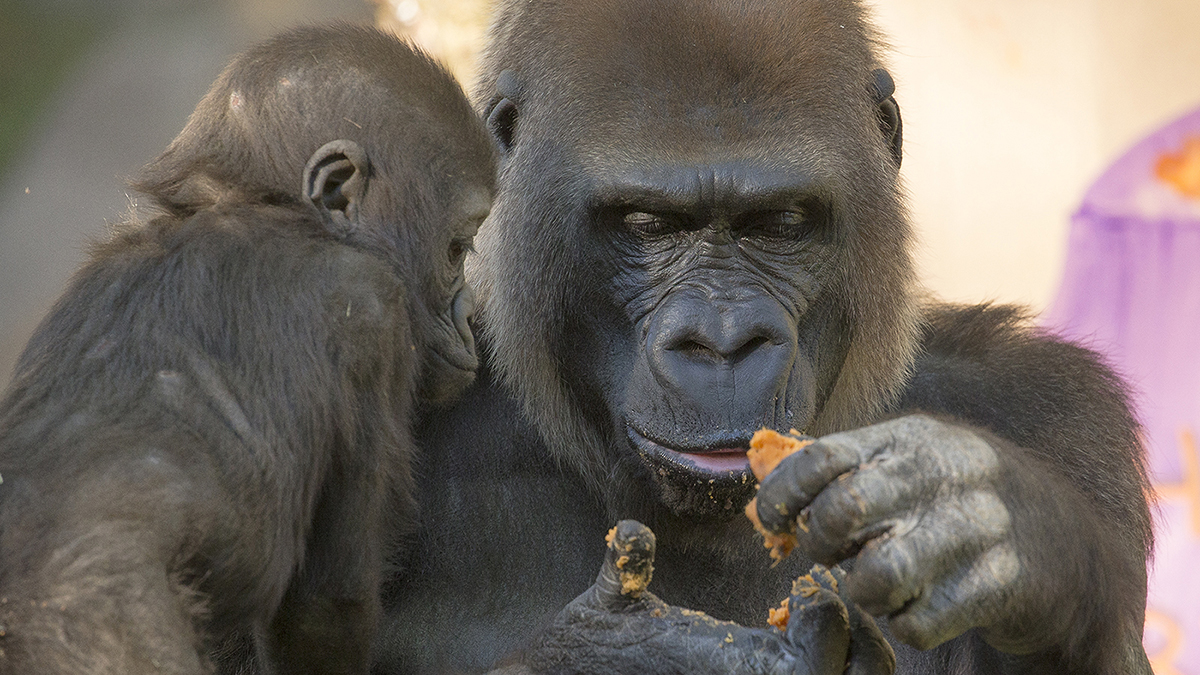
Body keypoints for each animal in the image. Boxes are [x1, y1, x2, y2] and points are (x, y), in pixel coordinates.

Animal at [376, 1, 1152, 672]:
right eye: (647, 223)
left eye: (780, 223)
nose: (725, 342)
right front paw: (629, 654)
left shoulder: (1058, 410)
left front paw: (998, 531)